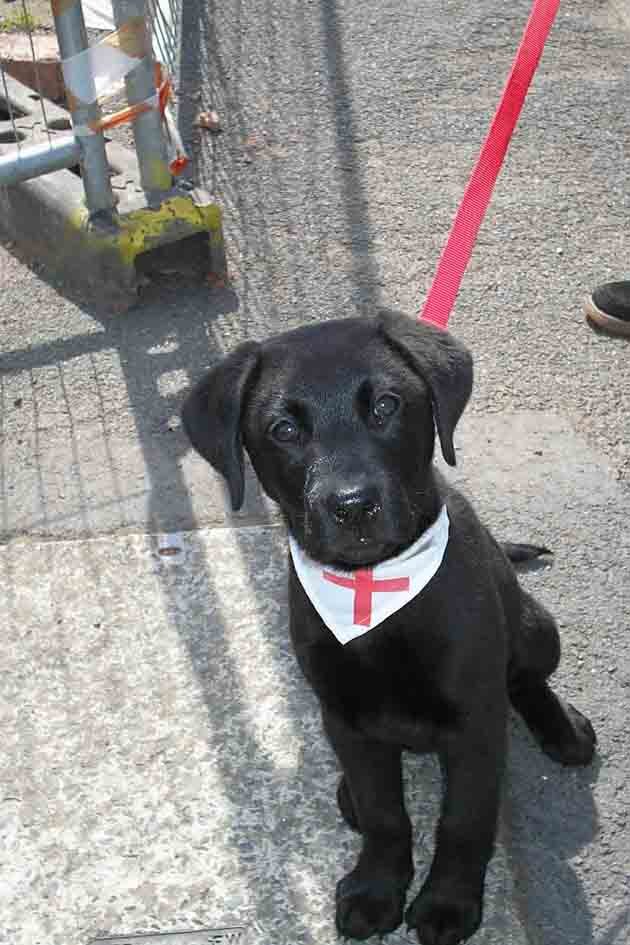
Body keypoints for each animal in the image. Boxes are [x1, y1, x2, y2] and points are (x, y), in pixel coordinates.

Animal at [183, 314, 596, 944]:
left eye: (385, 406)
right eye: (283, 429)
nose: (352, 506)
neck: (377, 594)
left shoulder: (476, 723)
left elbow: (463, 820)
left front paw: (448, 902)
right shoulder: (346, 720)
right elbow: (384, 815)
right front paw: (377, 889)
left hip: (534, 628)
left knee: (527, 680)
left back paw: (563, 728)